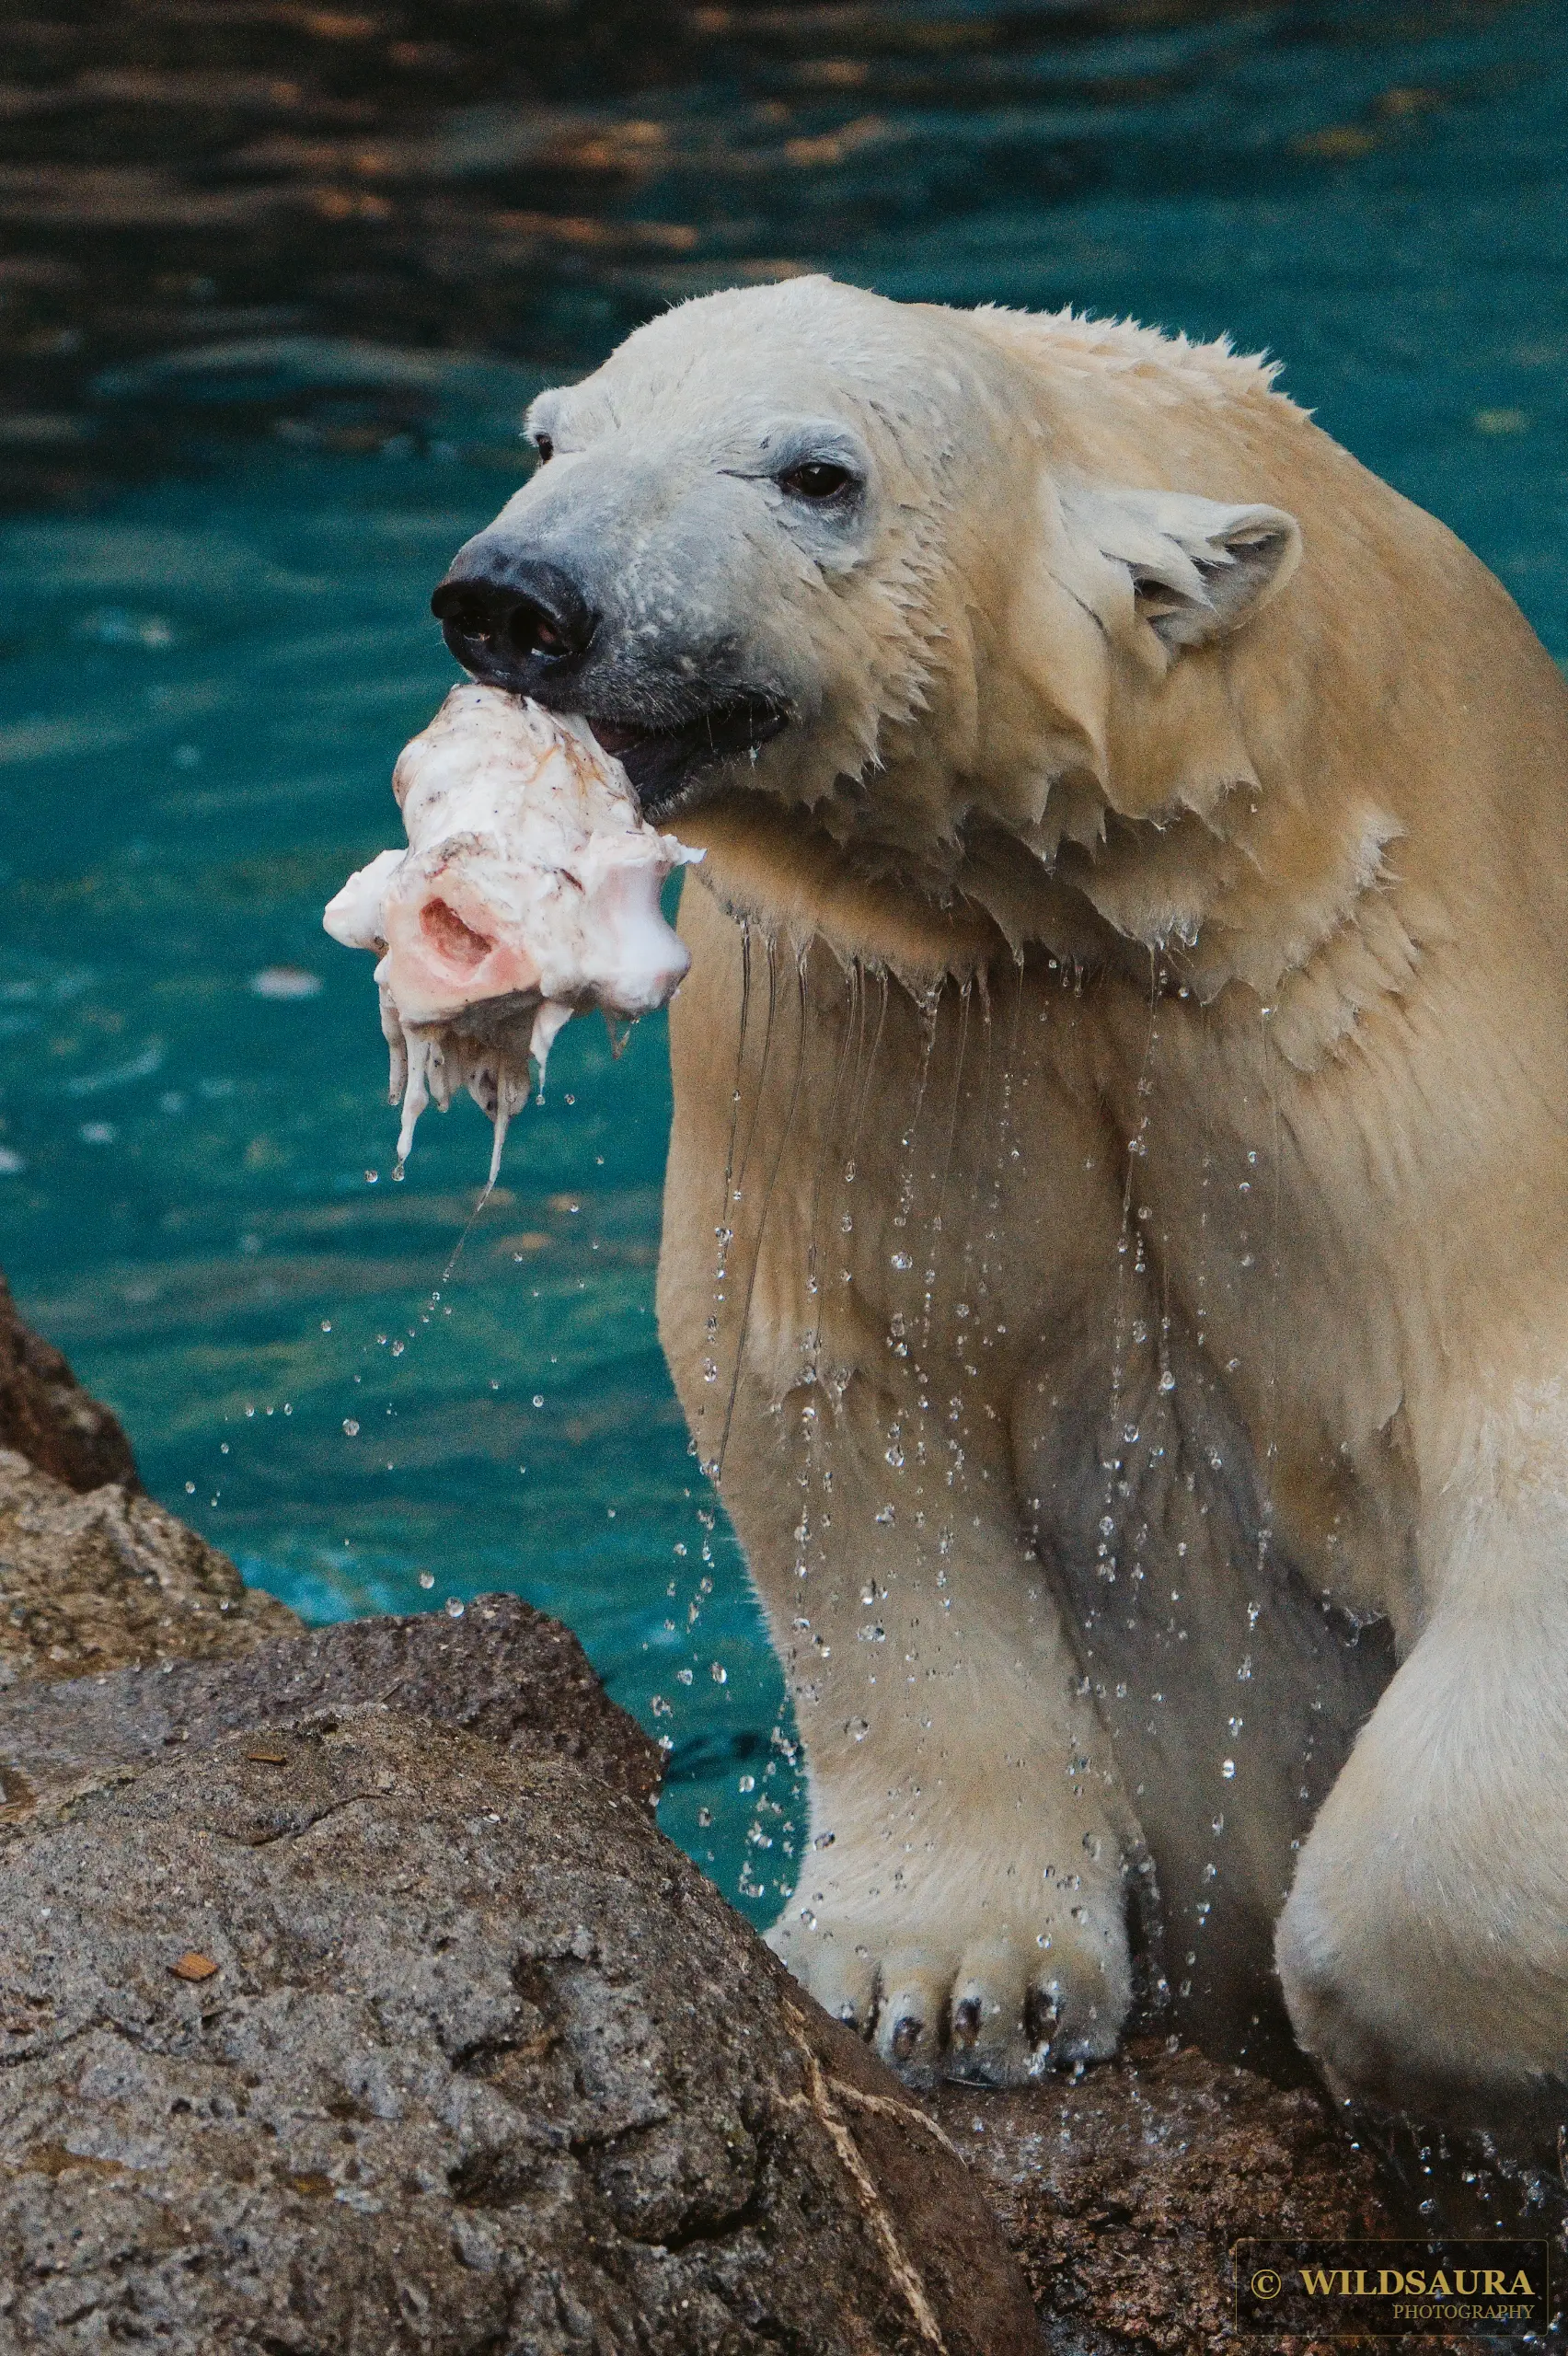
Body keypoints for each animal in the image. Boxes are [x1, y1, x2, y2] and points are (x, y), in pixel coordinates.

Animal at [429, 274, 1568, 2142]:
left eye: (816, 473)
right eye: (545, 437)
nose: (516, 600)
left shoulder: (1380, 994)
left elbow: (1498, 1400)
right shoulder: (879, 1012)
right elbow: (835, 1383)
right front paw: (951, 1984)